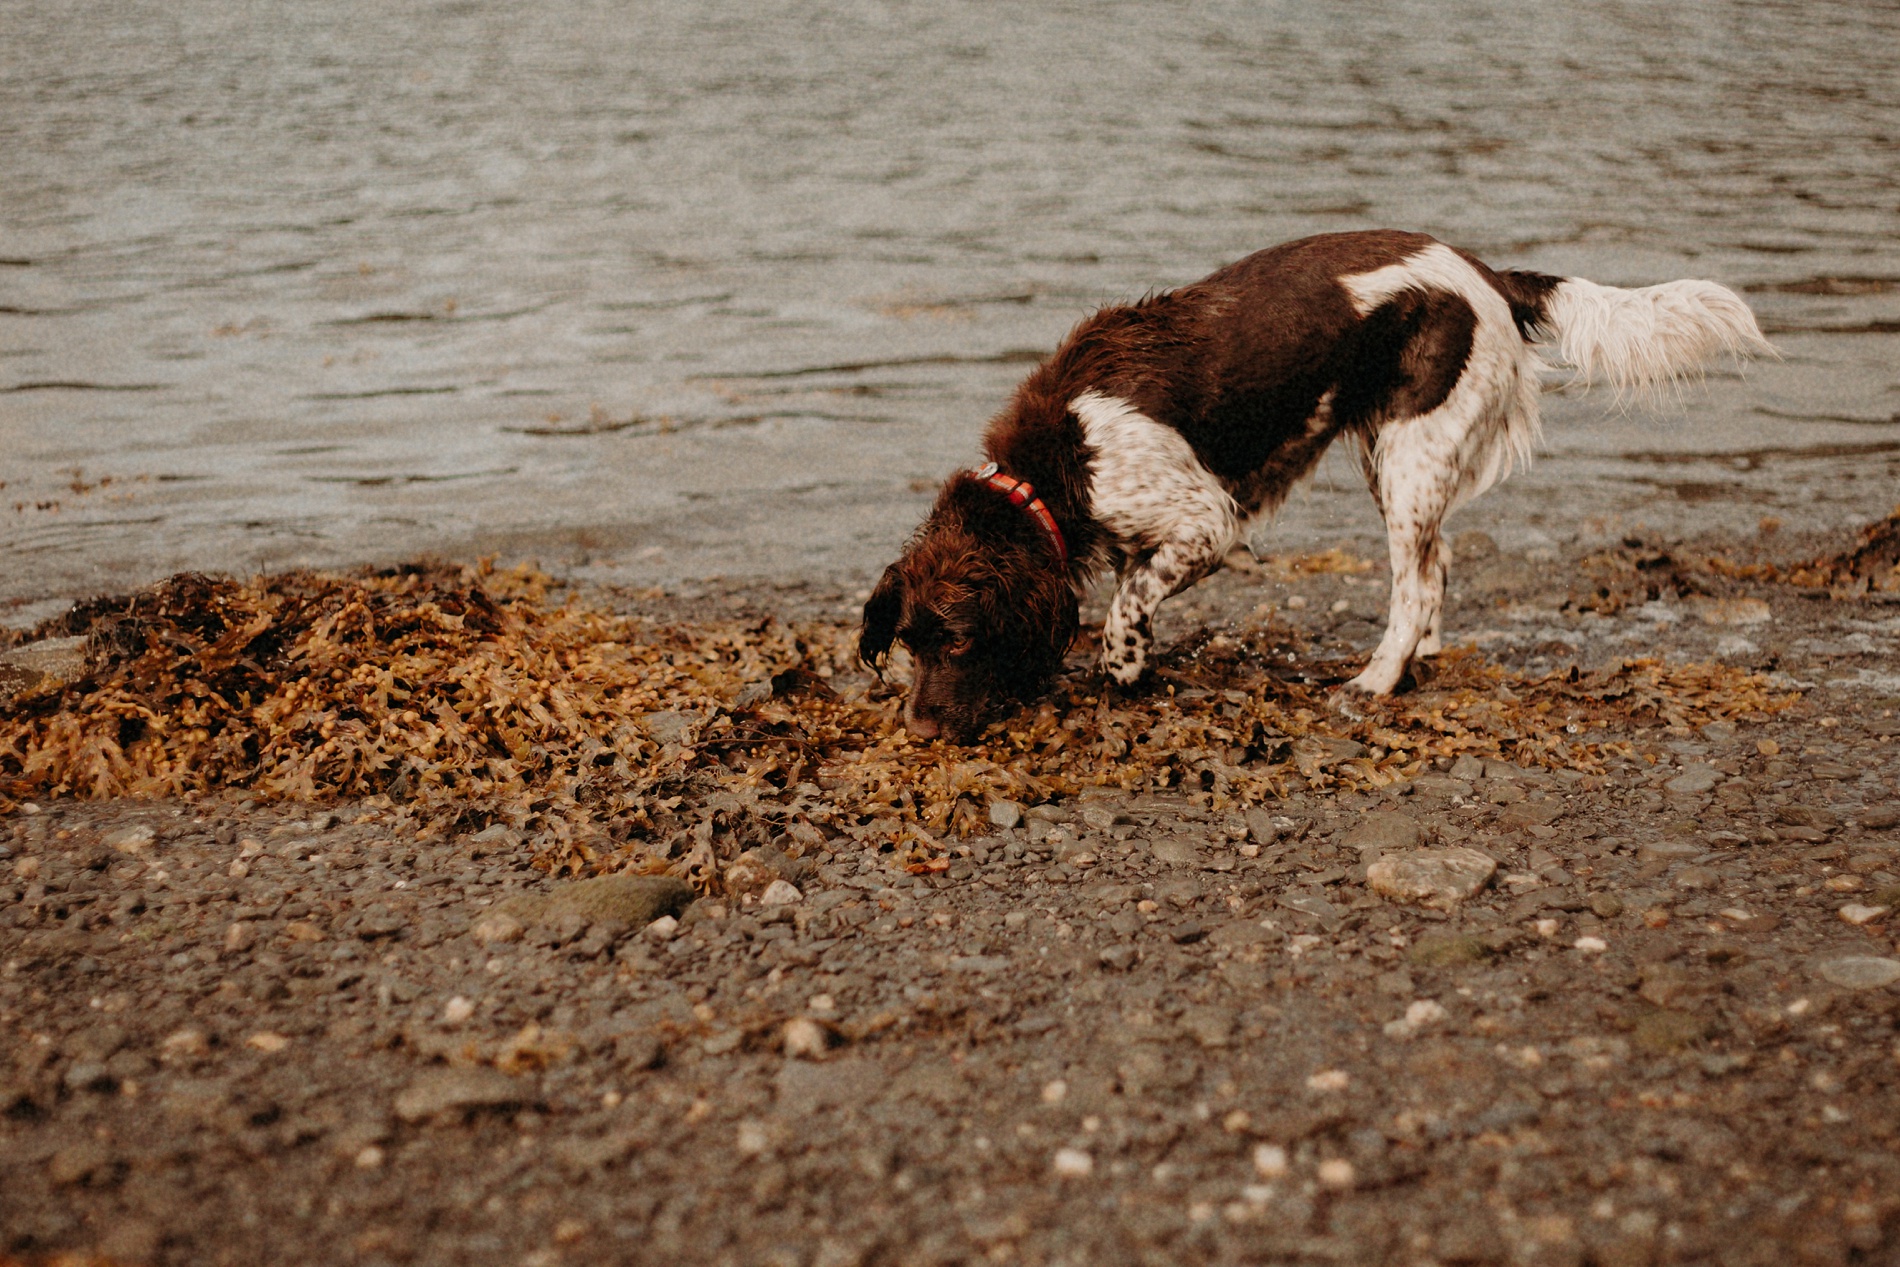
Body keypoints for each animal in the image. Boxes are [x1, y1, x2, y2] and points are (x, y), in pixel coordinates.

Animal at [858, 228, 1763, 744]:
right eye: (909, 641)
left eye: (960, 641)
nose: (919, 731)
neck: (1057, 462)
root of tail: (1490, 274)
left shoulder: (1206, 520)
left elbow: (1125, 607)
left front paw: (1124, 670)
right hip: (1392, 455)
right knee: (1434, 566)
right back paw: (1418, 657)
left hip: (1411, 451)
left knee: (1414, 581)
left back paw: (1375, 680)